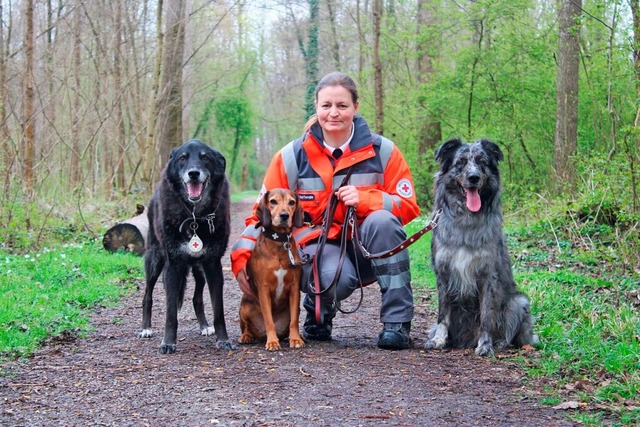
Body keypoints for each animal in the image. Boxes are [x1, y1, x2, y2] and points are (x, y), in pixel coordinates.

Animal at [139, 140, 234, 354]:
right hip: (155, 261)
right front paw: (168, 342)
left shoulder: (213, 265)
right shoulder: (173, 266)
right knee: (147, 296)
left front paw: (223, 340)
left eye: (205, 157)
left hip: (199, 270)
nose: (193, 173)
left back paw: (205, 326)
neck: (194, 216)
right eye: (183, 158)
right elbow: (170, 312)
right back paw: (146, 329)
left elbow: (219, 310)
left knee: (197, 298)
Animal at [239, 190, 306, 352]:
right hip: (245, 306)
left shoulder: (294, 287)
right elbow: (268, 319)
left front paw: (296, 339)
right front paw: (272, 342)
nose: (284, 215)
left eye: (291, 202)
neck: (279, 241)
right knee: (246, 326)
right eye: (273, 201)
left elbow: (294, 320)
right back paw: (246, 336)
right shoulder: (264, 288)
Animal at [424, 139, 536, 356]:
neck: (466, 221)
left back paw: (500, 342)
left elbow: (486, 315)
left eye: (482, 161)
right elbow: (442, 314)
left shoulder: (487, 274)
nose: (474, 177)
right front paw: (438, 340)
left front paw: (485, 344)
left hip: (518, 302)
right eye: (460, 162)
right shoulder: (443, 272)